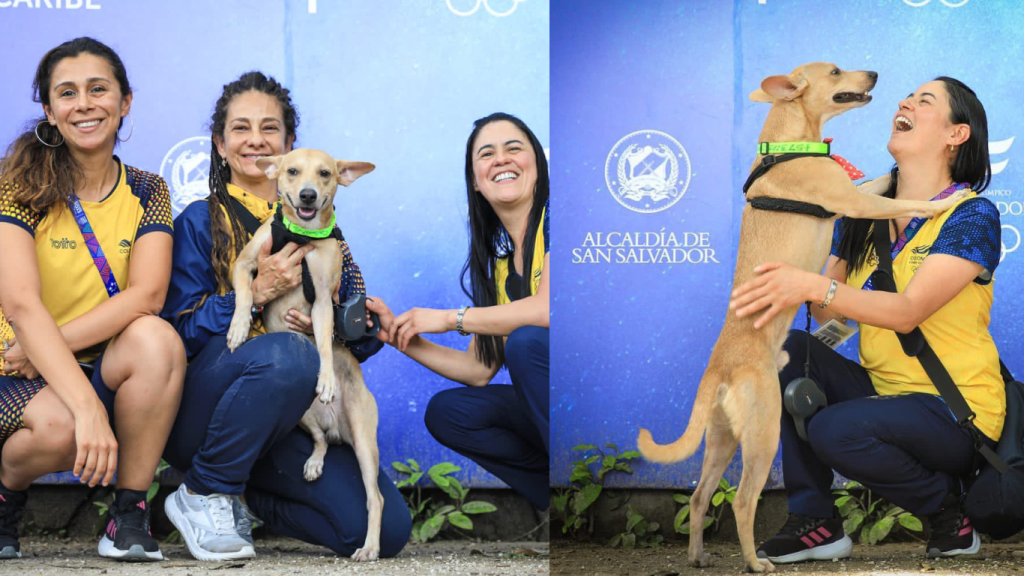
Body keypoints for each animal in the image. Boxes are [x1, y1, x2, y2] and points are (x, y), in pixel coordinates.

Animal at [225, 146, 385, 557]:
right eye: (292, 171)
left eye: (326, 173)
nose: (309, 195)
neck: (300, 237)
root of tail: (337, 427)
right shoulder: (245, 264)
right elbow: (245, 293)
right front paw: (238, 328)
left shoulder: (325, 302)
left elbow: (326, 342)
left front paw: (326, 378)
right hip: (301, 415)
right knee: (320, 441)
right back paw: (314, 462)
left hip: (364, 441)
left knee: (374, 497)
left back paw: (369, 547)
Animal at [634, 63, 962, 569]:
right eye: (834, 70)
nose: (875, 72)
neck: (789, 145)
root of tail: (721, 368)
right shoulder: (854, 202)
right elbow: (902, 200)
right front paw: (942, 201)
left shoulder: (852, 193)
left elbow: (877, 183)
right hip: (764, 432)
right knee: (742, 501)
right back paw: (755, 562)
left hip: (723, 437)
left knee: (700, 496)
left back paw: (698, 556)